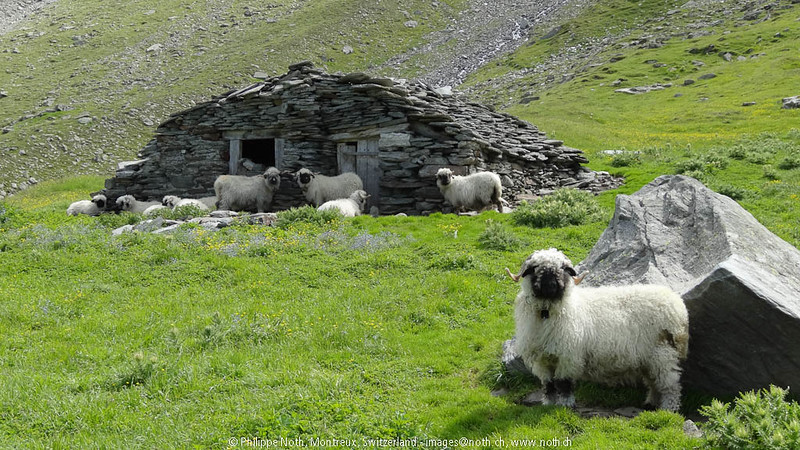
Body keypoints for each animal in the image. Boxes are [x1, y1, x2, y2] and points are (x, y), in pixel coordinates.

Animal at [508, 248, 689, 411]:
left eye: (563, 269)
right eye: (535, 268)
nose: (551, 285)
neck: (547, 311)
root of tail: (676, 302)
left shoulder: (568, 356)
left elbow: (564, 383)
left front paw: (565, 405)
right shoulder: (542, 360)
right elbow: (548, 384)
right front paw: (548, 404)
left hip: (663, 353)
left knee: (670, 386)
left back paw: (668, 409)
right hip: (648, 359)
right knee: (653, 383)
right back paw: (651, 403)